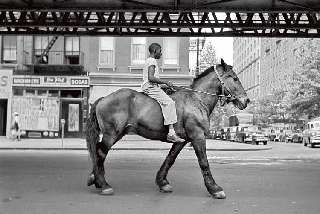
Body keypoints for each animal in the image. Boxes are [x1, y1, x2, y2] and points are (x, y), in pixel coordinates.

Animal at [85, 58, 250, 199]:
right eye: (234, 78)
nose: (246, 100)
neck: (196, 100)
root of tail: (103, 99)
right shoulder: (197, 135)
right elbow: (203, 161)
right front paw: (214, 188)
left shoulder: (182, 140)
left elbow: (170, 159)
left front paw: (162, 182)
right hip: (111, 134)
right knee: (100, 152)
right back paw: (103, 184)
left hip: (118, 133)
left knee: (99, 151)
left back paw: (95, 178)